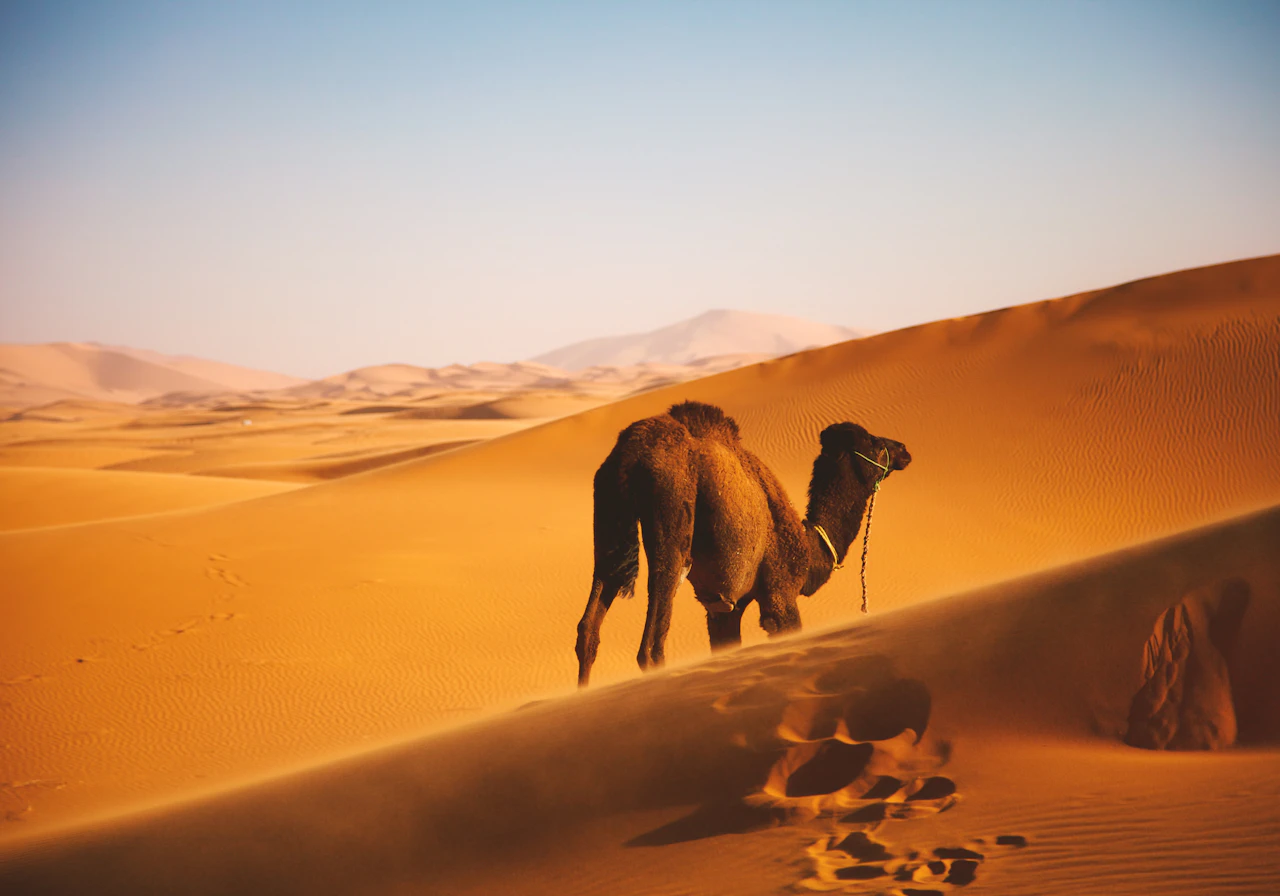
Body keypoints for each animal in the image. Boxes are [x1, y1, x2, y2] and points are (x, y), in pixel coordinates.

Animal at [575, 400, 911, 686]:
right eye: (874, 443)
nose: (904, 449)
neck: (808, 548)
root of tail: (631, 451)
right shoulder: (779, 595)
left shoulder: (725, 608)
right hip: (670, 511)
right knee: (651, 645)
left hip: (608, 514)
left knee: (590, 625)